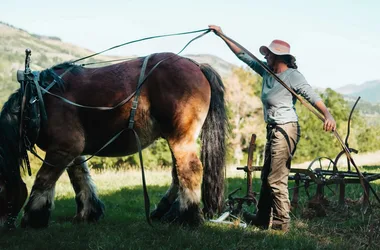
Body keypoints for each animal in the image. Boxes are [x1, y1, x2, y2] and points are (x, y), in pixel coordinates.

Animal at [0, 52, 226, 229]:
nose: (4, 226)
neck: (36, 101)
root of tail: (196, 64)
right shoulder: (72, 150)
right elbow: (80, 178)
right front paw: (88, 212)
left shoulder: (64, 147)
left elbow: (43, 180)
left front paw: (32, 218)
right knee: (177, 174)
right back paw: (164, 212)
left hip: (180, 136)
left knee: (190, 169)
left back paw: (188, 217)